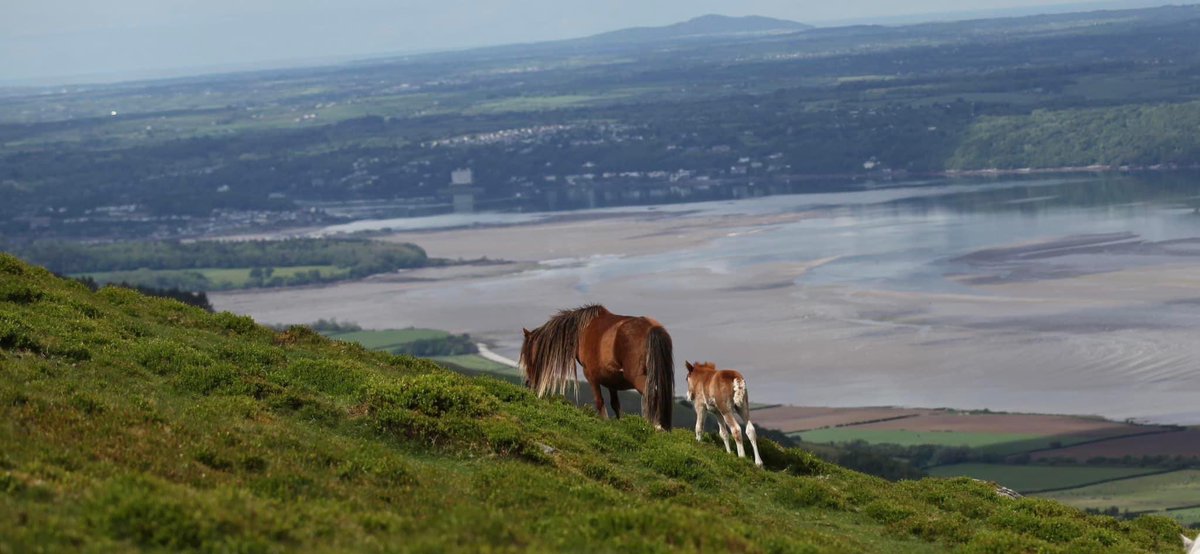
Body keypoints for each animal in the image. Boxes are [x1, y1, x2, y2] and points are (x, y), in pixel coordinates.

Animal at [520, 304, 676, 431]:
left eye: (527, 355)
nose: (528, 383)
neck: (582, 331)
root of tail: (652, 328)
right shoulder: (611, 380)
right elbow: (615, 405)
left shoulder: (591, 376)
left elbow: (600, 402)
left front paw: (605, 422)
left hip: (637, 378)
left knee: (652, 395)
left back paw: (656, 425)